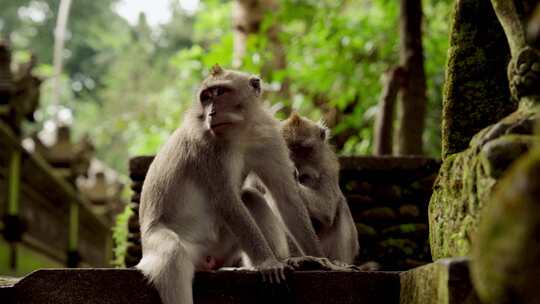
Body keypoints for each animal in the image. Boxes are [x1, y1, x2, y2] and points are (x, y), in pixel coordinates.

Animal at [137, 65, 322, 304]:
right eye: (206, 97)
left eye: (220, 92)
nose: (211, 113)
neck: (241, 133)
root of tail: (208, 260)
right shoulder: (208, 148)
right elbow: (225, 200)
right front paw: (268, 263)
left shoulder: (268, 137)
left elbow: (285, 196)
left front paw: (320, 259)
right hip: (161, 246)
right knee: (172, 255)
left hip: (223, 250)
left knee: (250, 197)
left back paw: (273, 262)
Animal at [280, 113, 360, 264]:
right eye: (288, 149)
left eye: (303, 149)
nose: (295, 164)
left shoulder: (328, 165)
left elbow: (327, 208)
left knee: (340, 204)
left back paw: (339, 262)